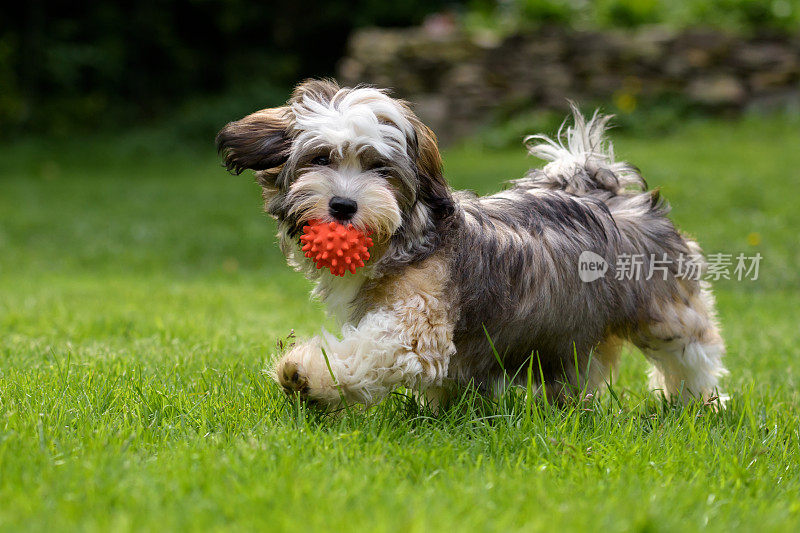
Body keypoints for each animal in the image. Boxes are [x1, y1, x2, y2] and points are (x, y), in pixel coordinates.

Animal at [216, 77, 728, 406]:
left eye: (379, 168)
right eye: (320, 158)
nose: (343, 206)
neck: (404, 241)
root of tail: (609, 194)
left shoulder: (415, 325)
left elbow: (371, 351)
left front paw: (305, 374)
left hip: (663, 307)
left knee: (692, 351)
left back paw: (699, 403)